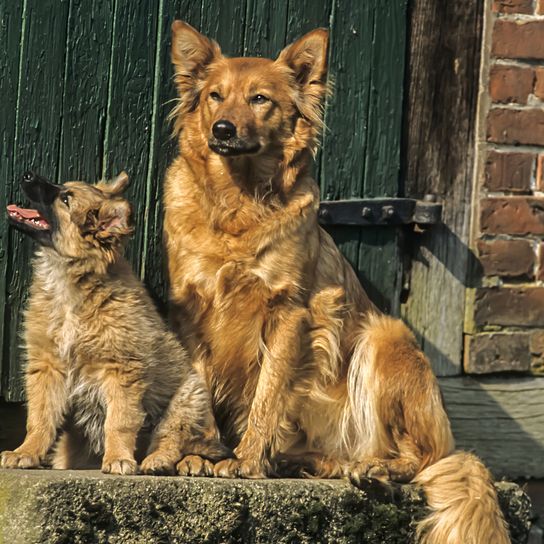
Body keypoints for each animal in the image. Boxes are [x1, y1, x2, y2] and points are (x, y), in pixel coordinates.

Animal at [0, 172, 227, 474]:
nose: (26, 175)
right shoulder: (47, 365)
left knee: (176, 440)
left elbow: (118, 421)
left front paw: (118, 457)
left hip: (187, 398)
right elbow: (40, 418)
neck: (72, 282)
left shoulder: (122, 370)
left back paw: (163, 460)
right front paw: (27, 451)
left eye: (65, 198)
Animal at [165, 20, 510, 544]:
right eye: (214, 96)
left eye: (260, 99)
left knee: (416, 456)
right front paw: (199, 454)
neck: (237, 203)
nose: (222, 129)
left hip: (385, 337)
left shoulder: (289, 312)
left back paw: (373, 470)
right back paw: (307, 464)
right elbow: (198, 388)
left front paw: (246, 460)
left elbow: (268, 394)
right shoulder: (191, 311)